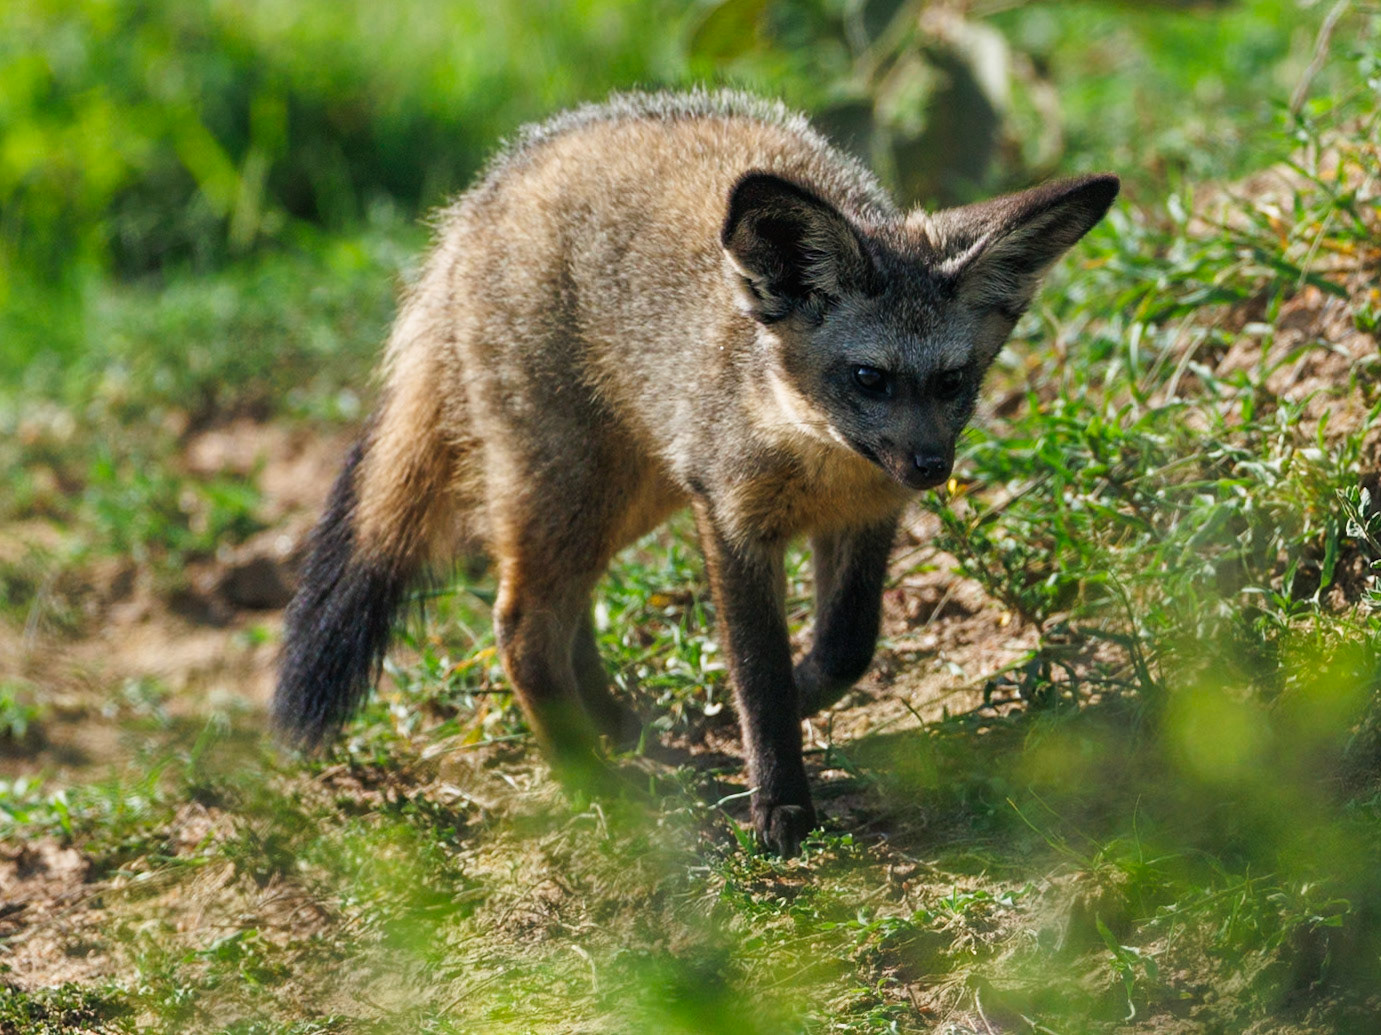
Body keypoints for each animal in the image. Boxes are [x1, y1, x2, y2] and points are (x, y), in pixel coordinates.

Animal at [273, 89, 1118, 856]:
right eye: (868, 378)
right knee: (519, 626)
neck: (813, 459)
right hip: (578, 490)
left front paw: (784, 707)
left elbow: (846, 647)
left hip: (624, 496)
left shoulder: (864, 518)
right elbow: (757, 674)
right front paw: (779, 802)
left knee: (563, 610)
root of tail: (474, 203)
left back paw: (613, 725)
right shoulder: (730, 518)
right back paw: (589, 778)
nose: (930, 468)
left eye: (952, 381)